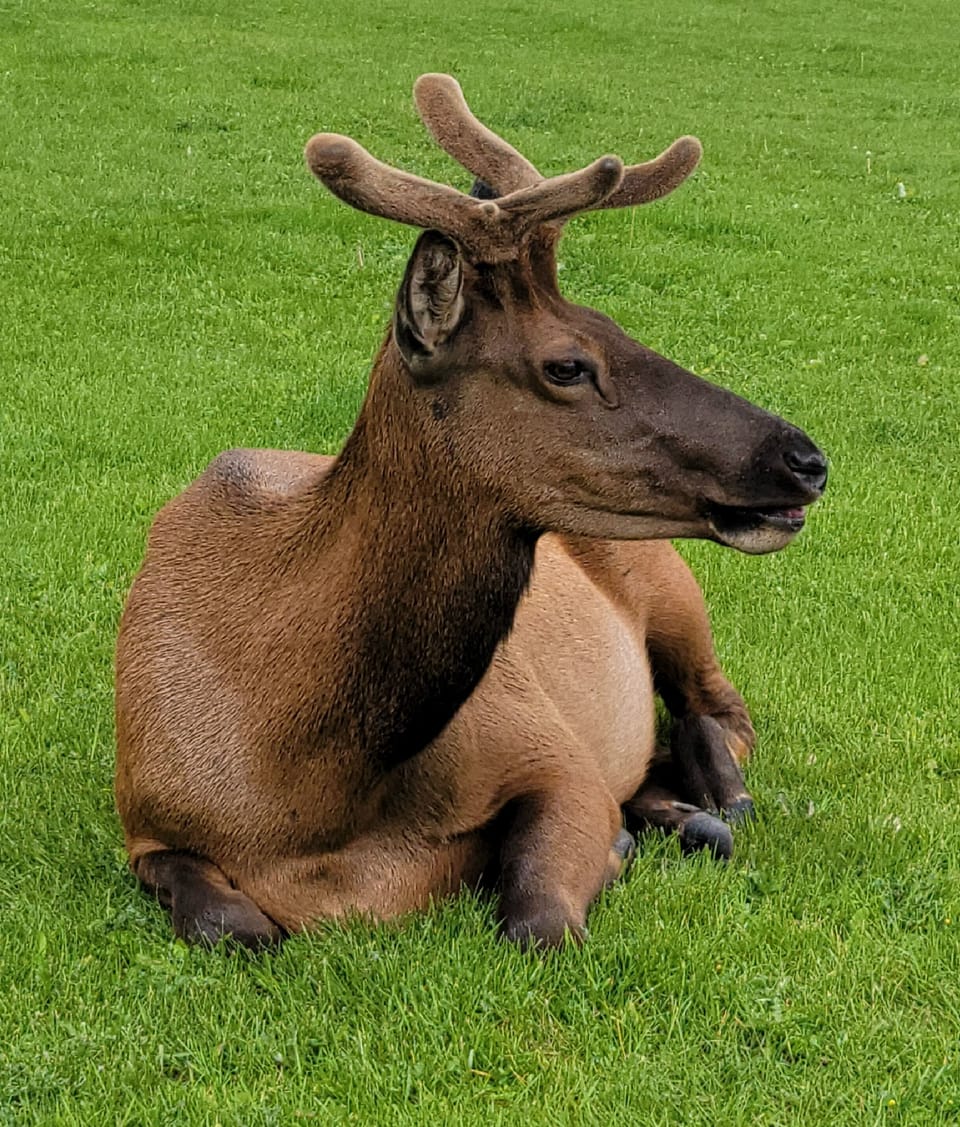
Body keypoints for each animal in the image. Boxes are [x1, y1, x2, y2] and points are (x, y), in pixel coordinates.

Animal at [114, 74, 827, 950]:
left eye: (617, 324)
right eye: (567, 364)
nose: (805, 459)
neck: (303, 796)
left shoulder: (550, 750)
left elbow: (538, 919)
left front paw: (618, 846)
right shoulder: (145, 817)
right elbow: (231, 923)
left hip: (673, 590)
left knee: (719, 713)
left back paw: (710, 803)